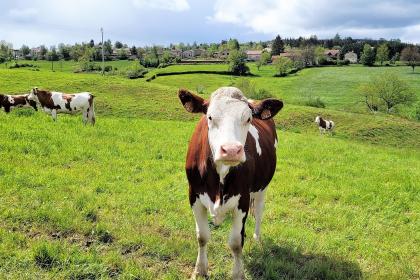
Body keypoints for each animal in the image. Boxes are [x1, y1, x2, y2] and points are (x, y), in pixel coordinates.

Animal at [177, 86, 282, 278]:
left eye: (248, 119)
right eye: (210, 117)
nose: (231, 150)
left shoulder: (243, 200)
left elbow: (235, 242)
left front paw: (238, 274)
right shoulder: (193, 194)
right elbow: (202, 236)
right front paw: (200, 270)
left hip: (262, 188)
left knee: (259, 212)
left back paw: (257, 239)